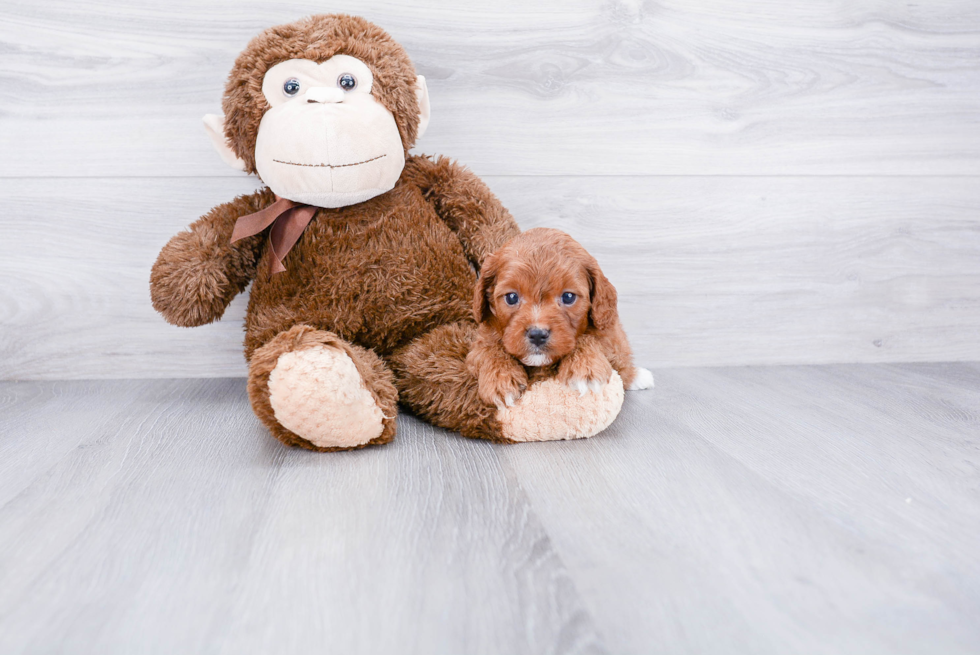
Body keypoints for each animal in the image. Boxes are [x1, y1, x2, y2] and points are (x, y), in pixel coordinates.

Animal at [466, 228, 656, 408]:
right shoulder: (479, 344)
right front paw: (500, 378)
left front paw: (584, 367)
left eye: (568, 297)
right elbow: (489, 349)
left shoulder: (606, 330)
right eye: (511, 297)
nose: (537, 334)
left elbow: (588, 338)